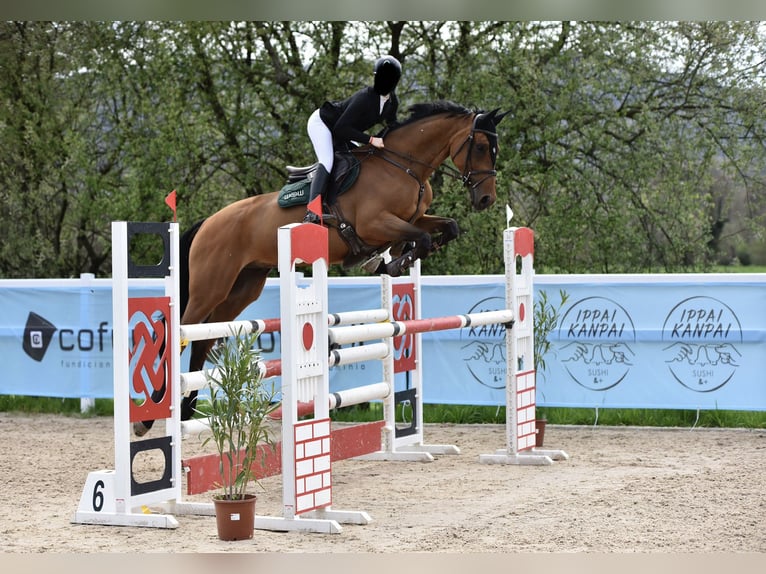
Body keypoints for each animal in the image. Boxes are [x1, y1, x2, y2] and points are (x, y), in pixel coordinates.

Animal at [134, 100, 507, 436]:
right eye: (481, 147)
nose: (486, 199)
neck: (404, 167)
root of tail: (208, 222)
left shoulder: (414, 218)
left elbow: (446, 228)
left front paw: (397, 257)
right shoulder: (376, 224)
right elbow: (421, 238)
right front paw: (392, 260)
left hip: (241, 289)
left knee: (202, 339)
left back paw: (186, 410)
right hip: (210, 286)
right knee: (179, 335)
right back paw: (150, 417)